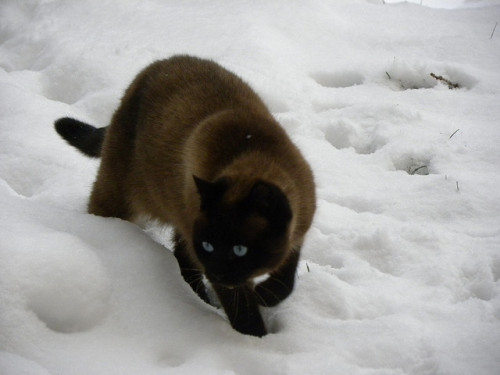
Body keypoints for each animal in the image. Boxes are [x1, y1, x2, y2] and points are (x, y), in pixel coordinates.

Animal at [54, 55, 316, 338]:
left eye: (240, 250)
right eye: (209, 246)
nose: (216, 273)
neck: (257, 158)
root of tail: (154, 67)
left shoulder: (297, 234)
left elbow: (285, 281)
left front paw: (264, 296)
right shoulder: (211, 259)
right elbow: (245, 313)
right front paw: (255, 341)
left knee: (181, 257)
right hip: (119, 201)